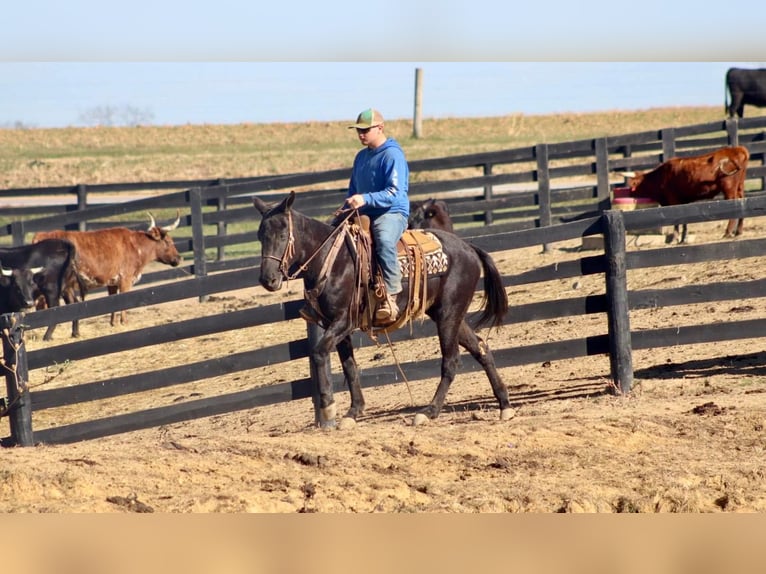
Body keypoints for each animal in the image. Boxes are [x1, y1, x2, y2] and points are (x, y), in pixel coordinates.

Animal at [33, 210, 184, 338]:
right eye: (168, 241)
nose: (178, 258)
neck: (135, 245)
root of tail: (41, 235)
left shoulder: (112, 282)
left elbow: (112, 301)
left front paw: (113, 323)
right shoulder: (125, 279)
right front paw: (124, 322)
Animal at [624, 145, 752, 244]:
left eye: (632, 186)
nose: (628, 192)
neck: (661, 176)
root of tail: (737, 149)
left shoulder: (673, 200)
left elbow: (677, 222)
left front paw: (674, 239)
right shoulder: (683, 201)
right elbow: (684, 220)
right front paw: (683, 239)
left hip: (729, 189)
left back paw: (728, 232)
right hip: (739, 187)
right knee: (742, 203)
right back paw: (738, 231)